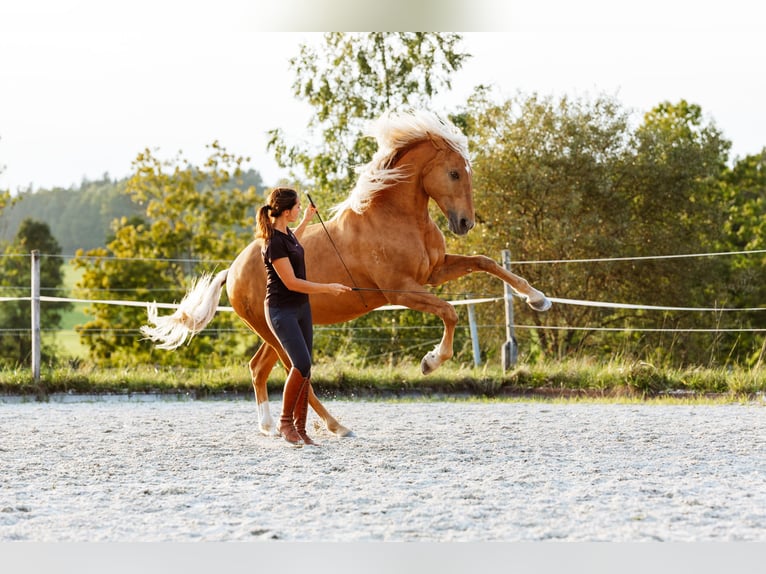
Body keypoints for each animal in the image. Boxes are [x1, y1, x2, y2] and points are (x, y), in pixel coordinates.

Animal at [141, 109, 551, 437]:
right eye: (453, 173)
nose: (465, 223)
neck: (394, 217)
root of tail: (233, 270)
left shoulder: (434, 272)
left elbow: (486, 261)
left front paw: (538, 298)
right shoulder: (401, 291)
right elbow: (450, 312)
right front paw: (429, 362)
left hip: (274, 331)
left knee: (260, 368)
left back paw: (270, 426)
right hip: (273, 331)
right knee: (293, 371)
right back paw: (335, 426)